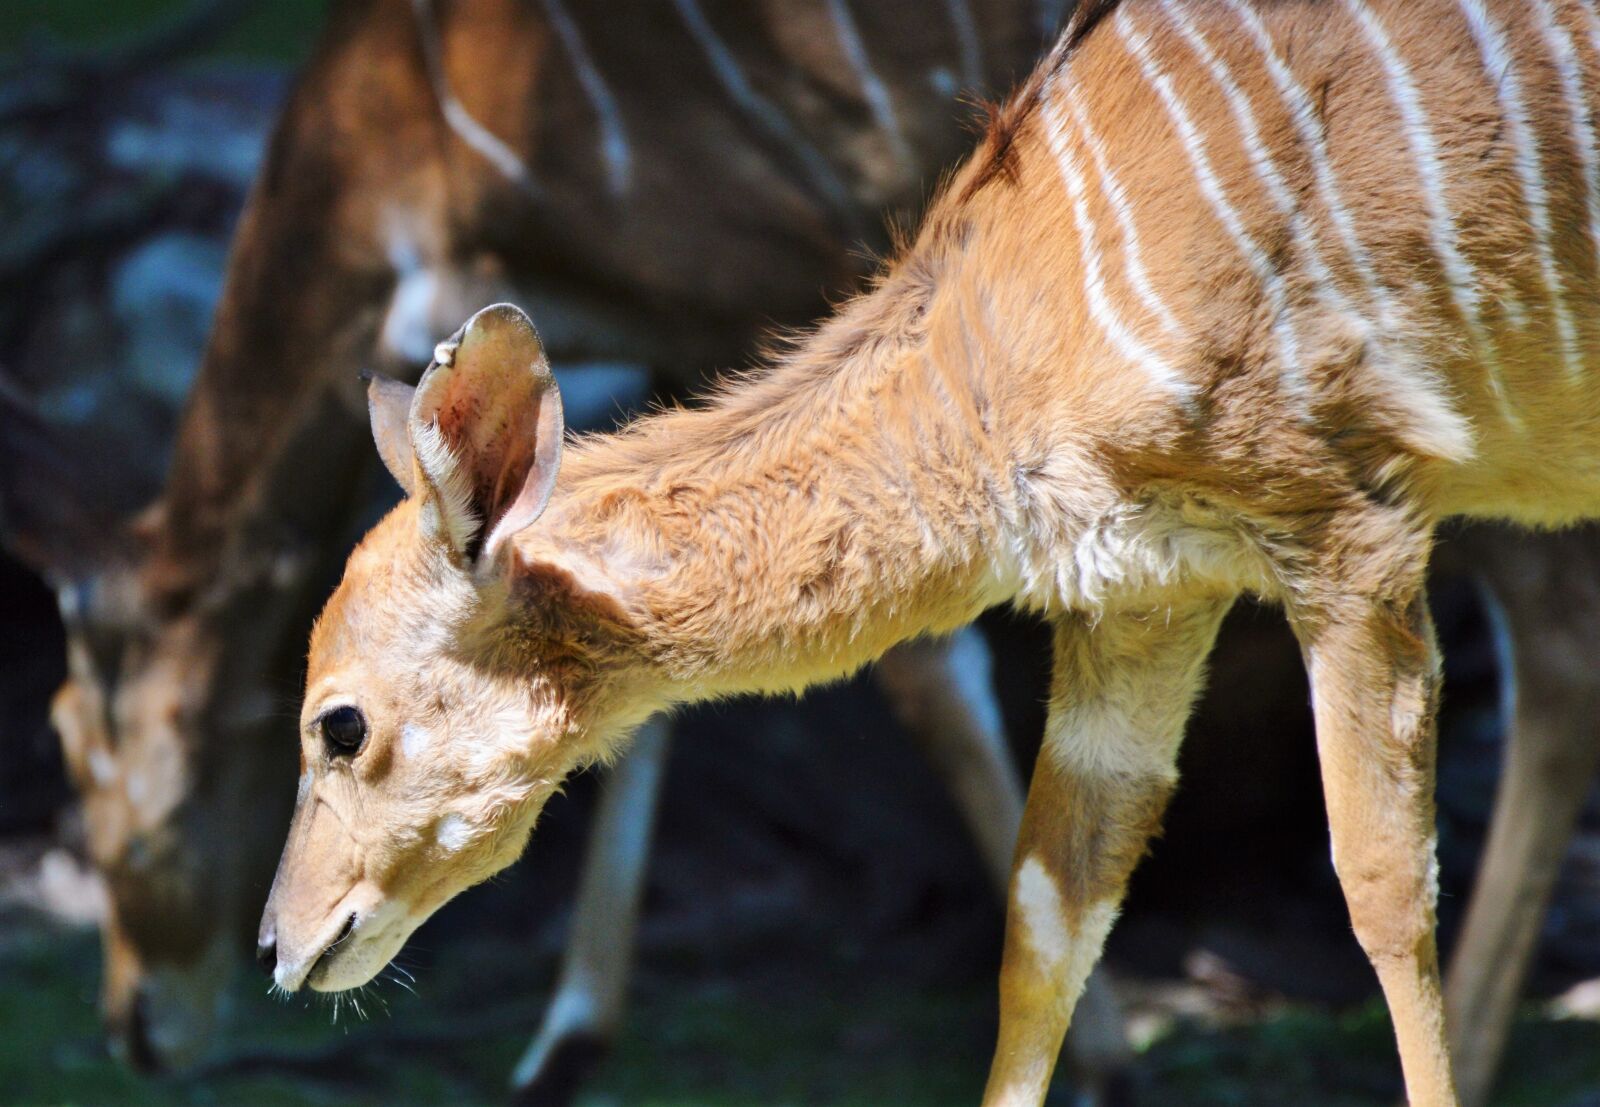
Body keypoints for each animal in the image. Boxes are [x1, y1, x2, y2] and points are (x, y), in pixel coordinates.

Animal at [0, 0, 1131, 1098]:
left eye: (74, 741)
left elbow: (923, 666)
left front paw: (1096, 1064)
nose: (134, 1025)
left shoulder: (782, 268)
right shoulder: (669, 340)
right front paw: (565, 1043)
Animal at [258, 0, 1600, 1102]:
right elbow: (1046, 918)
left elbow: (1383, 889)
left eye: (340, 723)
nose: (281, 945)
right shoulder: (1146, 597)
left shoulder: (1350, 530)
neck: (1003, 343)